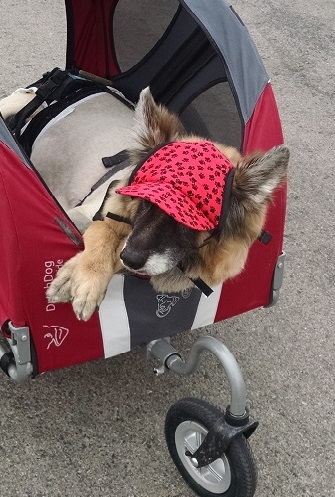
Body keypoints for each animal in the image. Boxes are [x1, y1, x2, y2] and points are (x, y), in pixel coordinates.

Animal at [0, 85, 288, 320]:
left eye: (186, 221)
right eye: (145, 204)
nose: (131, 257)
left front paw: (79, 275)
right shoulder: (83, 212)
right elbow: (101, 232)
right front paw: (86, 274)